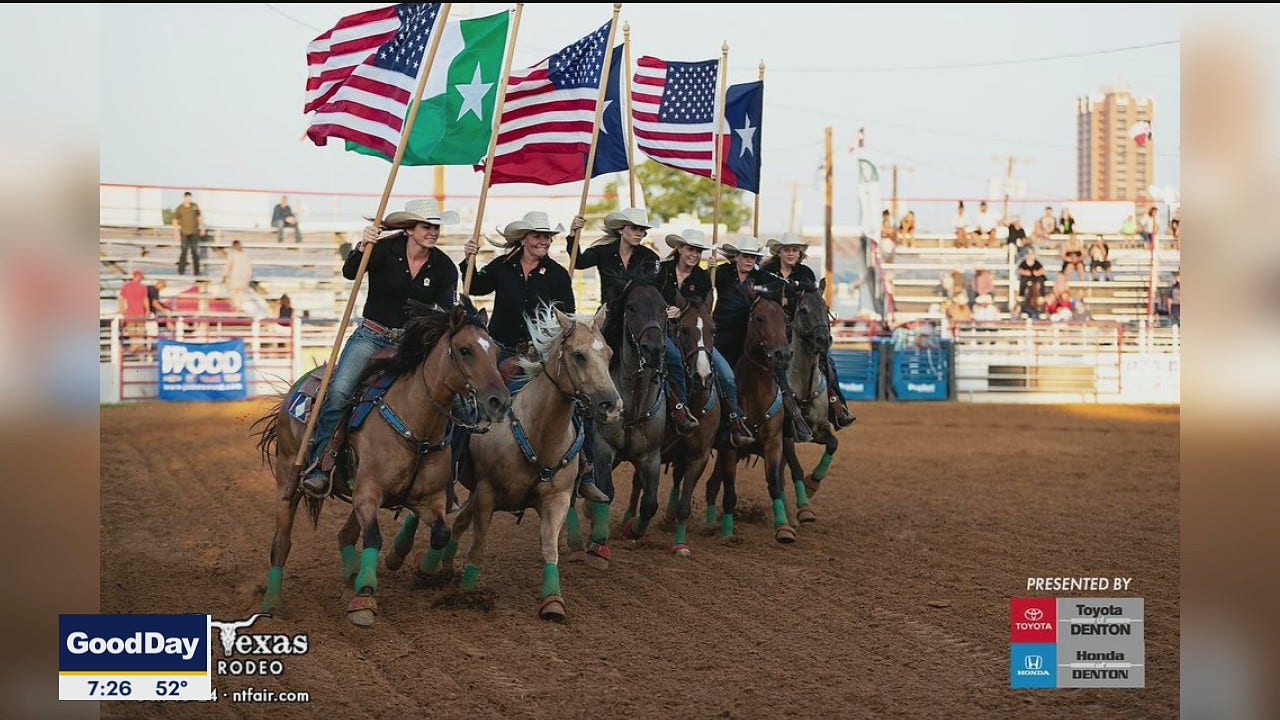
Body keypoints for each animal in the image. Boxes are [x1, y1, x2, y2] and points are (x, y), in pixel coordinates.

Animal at [249, 299, 509, 625]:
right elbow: (373, 537)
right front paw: (365, 595)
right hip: (289, 478)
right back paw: (272, 602)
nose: (500, 401)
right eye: (465, 350)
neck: (416, 424)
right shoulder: (368, 493)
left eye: (496, 352)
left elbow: (440, 534)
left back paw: (350, 578)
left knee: (345, 534)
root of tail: (300, 385)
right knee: (282, 543)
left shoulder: (428, 499)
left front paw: (417, 566)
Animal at [394, 302, 624, 617]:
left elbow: (549, 548)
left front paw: (553, 600)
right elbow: (478, 546)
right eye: (579, 355)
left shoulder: (557, 498)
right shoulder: (487, 493)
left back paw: (440, 565)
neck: (537, 432)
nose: (613, 407)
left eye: (609, 354)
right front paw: (467, 592)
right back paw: (412, 557)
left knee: (458, 522)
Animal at [578, 274, 670, 566]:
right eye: (631, 307)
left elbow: (650, 503)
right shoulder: (602, 447)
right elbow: (607, 491)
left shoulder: (651, 456)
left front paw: (634, 528)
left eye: (664, 308)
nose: (653, 349)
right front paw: (597, 541)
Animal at [655, 292, 727, 556]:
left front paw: (680, 545)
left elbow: (685, 505)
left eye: (713, 329)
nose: (703, 376)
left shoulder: (699, 455)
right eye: (684, 330)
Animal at [701, 288, 798, 540]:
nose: (782, 354)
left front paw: (783, 527)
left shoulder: (774, 444)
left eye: (785, 319)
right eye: (760, 318)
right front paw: (727, 533)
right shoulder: (730, 449)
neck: (756, 395)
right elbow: (730, 492)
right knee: (712, 484)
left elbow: (774, 484)